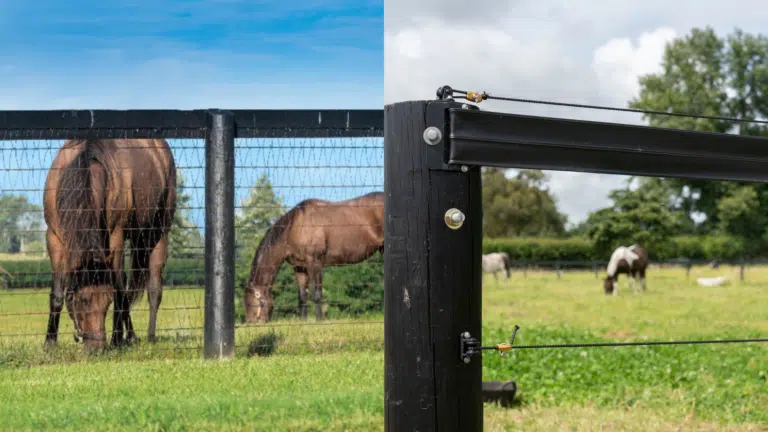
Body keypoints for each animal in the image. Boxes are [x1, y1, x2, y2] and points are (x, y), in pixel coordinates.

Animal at [43, 138, 176, 352]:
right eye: (83, 300)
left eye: (107, 301)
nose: (96, 348)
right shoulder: (54, 238)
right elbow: (56, 294)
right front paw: (49, 342)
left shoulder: (116, 237)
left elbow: (119, 289)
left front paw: (117, 339)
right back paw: (131, 336)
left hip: (157, 232)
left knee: (153, 288)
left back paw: (147, 336)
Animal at [244, 191, 384, 323]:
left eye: (251, 303)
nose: (250, 323)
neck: (296, 226)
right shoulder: (299, 267)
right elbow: (302, 296)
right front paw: (303, 321)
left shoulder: (315, 264)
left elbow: (316, 293)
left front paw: (319, 320)